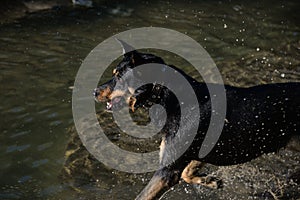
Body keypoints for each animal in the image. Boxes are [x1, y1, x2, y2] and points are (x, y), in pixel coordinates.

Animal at [94, 40, 300, 198]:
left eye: (119, 77)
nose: (94, 92)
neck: (166, 96)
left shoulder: (167, 171)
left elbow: (143, 196)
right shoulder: (193, 153)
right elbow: (187, 172)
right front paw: (209, 181)